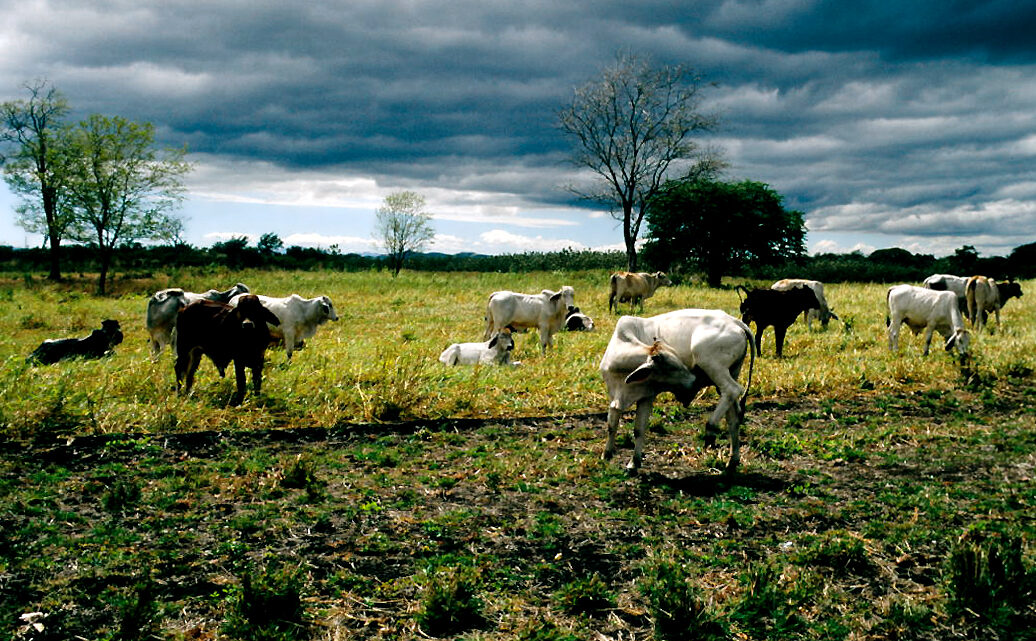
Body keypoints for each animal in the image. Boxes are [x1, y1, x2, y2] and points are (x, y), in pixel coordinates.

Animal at [599, 309, 755, 475]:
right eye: (672, 367)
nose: (693, 380)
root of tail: (735, 321)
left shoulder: (647, 396)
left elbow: (637, 429)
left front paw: (628, 462)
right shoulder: (618, 396)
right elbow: (618, 426)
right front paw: (617, 458)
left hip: (713, 366)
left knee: (733, 390)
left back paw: (710, 430)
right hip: (731, 372)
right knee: (733, 416)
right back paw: (732, 461)